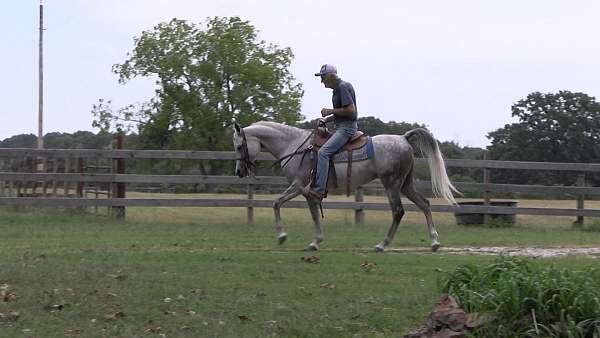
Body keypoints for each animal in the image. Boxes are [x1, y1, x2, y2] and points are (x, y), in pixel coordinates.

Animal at [232, 121, 458, 251]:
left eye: (239, 145)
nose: (239, 172)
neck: (294, 146)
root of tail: (403, 138)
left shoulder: (299, 186)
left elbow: (277, 203)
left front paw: (283, 236)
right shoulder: (308, 192)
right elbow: (312, 214)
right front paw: (315, 241)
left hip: (392, 184)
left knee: (398, 212)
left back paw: (382, 244)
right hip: (405, 184)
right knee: (425, 204)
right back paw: (434, 242)